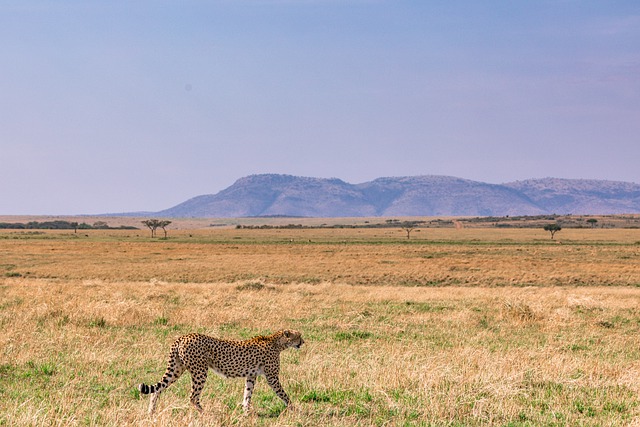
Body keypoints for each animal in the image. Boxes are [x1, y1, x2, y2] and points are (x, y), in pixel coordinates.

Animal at [137, 332, 304, 414]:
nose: (303, 342)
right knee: (192, 396)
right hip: (200, 371)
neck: (277, 342)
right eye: (299, 336)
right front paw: (294, 408)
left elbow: (247, 394)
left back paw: (151, 411)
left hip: (177, 369)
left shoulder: (251, 375)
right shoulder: (272, 377)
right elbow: (283, 394)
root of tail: (183, 337)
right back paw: (205, 413)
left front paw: (246, 411)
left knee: (157, 389)